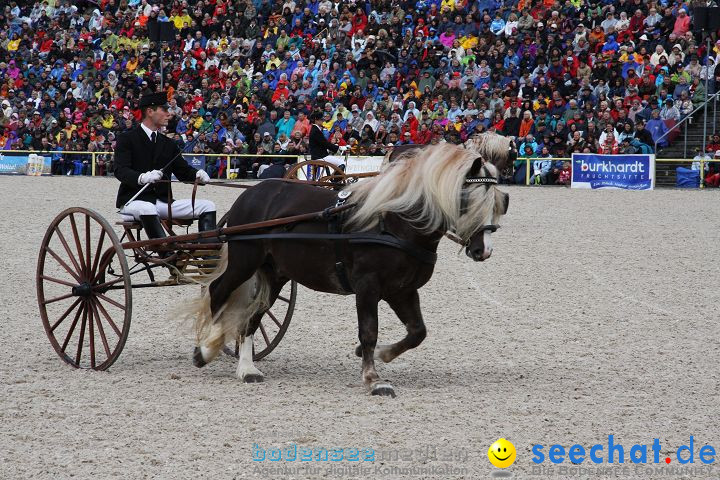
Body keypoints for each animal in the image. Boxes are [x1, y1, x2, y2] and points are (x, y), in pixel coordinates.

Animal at [186, 142, 512, 398]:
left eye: (501, 201)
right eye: (468, 199)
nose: (484, 250)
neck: (395, 222)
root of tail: (251, 195)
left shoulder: (402, 291)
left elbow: (417, 332)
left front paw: (381, 355)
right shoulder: (368, 287)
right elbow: (369, 331)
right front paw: (373, 379)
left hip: (275, 274)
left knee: (254, 314)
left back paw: (246, 367)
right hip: (245, 261)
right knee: (218, 291)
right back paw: (205, 349)